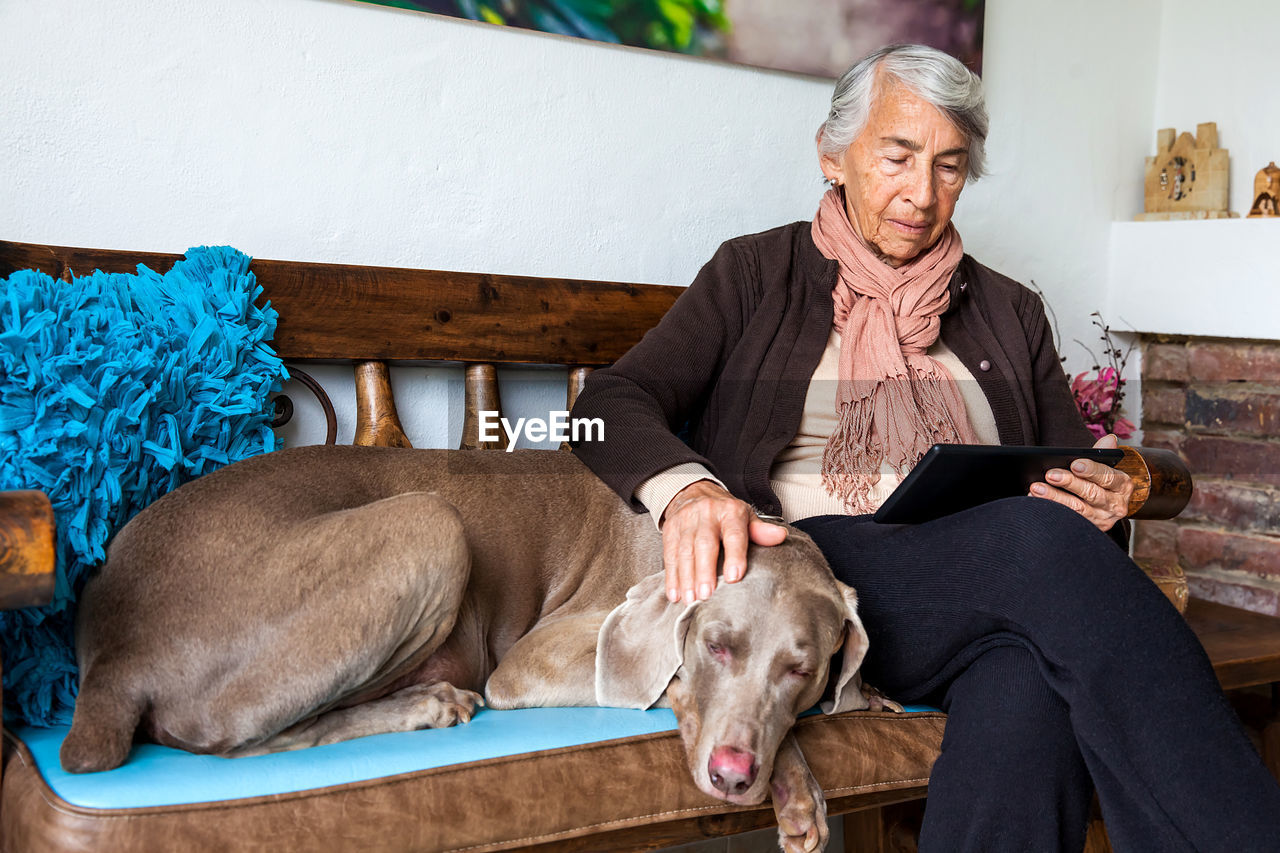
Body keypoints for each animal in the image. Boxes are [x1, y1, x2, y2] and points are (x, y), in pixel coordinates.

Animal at [60, 445, 890, 850]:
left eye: (800, 669)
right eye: (716, 645)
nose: (734, 775)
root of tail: (109, 655)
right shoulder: (533, 661)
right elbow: (663, 687)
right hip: (428, 523)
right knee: (233, 736)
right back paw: (424, 704)